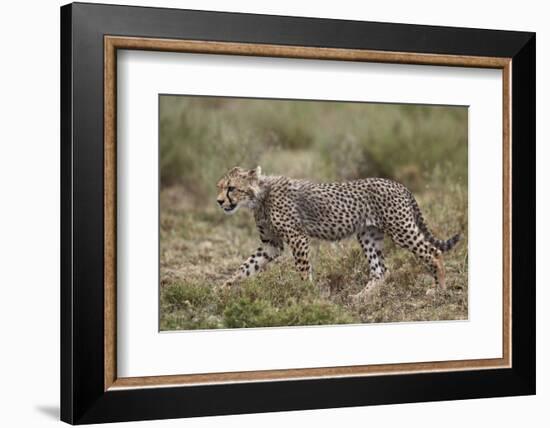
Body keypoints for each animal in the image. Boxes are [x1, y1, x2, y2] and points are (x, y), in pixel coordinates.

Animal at [216, 166, 462, 300]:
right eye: (220, 187)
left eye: (231, 188)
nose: (219, 202)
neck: (260, 196)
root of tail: (397, 183)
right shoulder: (271, 244)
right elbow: (245, 267)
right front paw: (223, 289)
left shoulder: (297, 237)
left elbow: (303, 270)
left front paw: (306, 295)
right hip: (367, 235)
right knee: (381, 270)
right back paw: (360, 298)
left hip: (401, 229)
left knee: (433, 252)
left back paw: (439, 289)